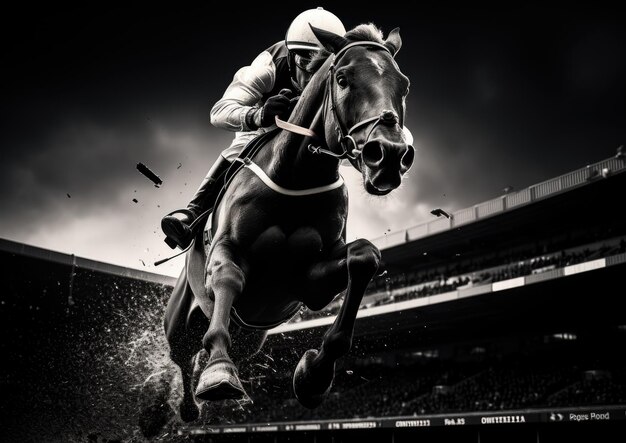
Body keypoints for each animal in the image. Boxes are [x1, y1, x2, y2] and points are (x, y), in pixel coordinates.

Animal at [163, 23, 412, 424]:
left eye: (404, 85)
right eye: (343, 79)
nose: (389, 155)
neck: (299, 175)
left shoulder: (307, 281)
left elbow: (364, 257)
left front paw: (314, 375)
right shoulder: (228, 251)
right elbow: (228, 276)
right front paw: (219, 371)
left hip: (251, 337)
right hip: (180, 324)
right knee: (184, 356)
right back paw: (188, 404)